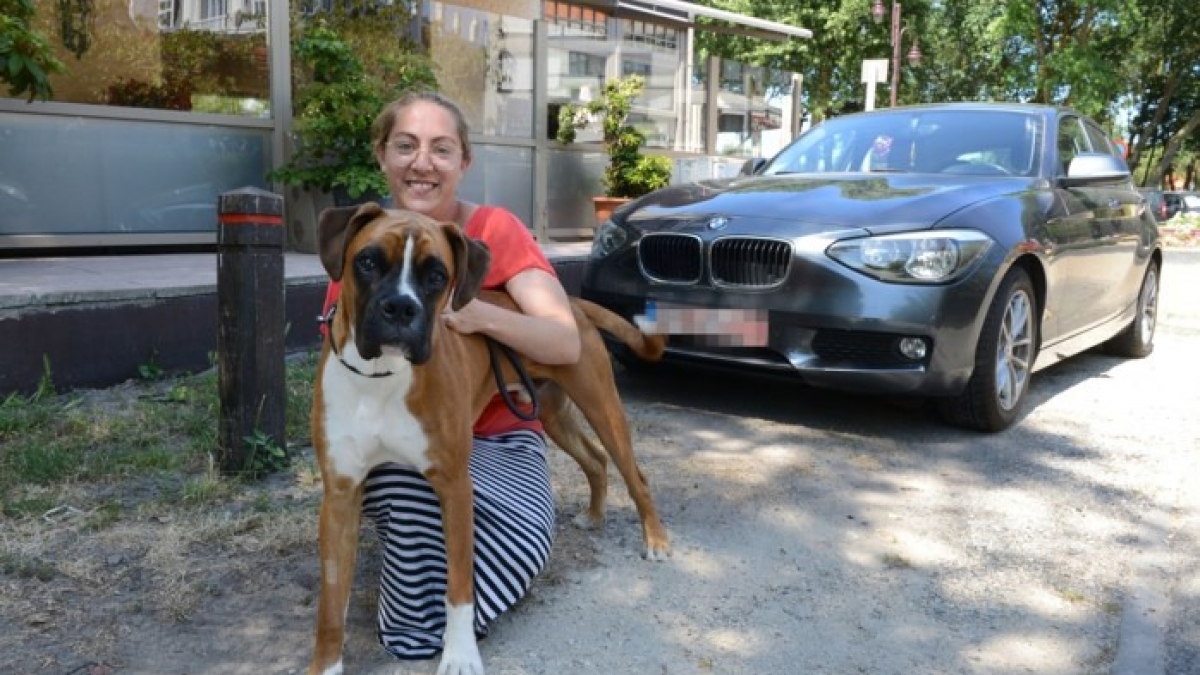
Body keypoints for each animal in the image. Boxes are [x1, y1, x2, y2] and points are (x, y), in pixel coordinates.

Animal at [304, 201, 672, 672]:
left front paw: (460, 655)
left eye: (437, 275)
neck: (380, 376)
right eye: (367, 262)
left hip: (601, 405)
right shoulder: (341, 495)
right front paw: (326, 665)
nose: (400, 308)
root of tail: (571, 304)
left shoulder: (454, 488)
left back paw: (656, 539)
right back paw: (594, 514)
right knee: (595, 460)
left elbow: (459, 587)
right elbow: (331, 607)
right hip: (553, 412)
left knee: (634, 474)